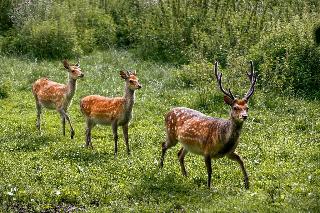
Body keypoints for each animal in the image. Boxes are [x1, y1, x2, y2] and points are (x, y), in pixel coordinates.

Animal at [160, 60, 258, 189]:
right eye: (235, 107)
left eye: (247, 108)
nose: (244, 116)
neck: (224, 141)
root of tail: (167, 112)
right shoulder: (207, 150)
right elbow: (210, 170)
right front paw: (209, 187)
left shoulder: (229, 152)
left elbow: (241, 160)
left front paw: (247, 184)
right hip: (171, 134)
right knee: (163, 145)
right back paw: (160, 167)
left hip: (186, 144)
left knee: (179, 154)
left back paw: (185, 175)